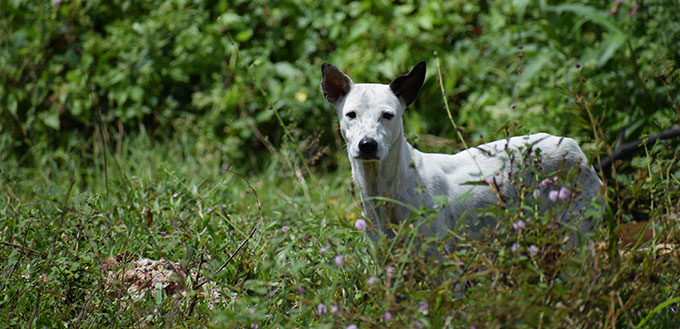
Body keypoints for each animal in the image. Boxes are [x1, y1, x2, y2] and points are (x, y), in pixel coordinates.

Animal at [322, 60, 604, 247]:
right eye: (351, 115)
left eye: (387, 115)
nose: (367, 145)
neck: (386, 188)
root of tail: (573, 146)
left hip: (578, 233)